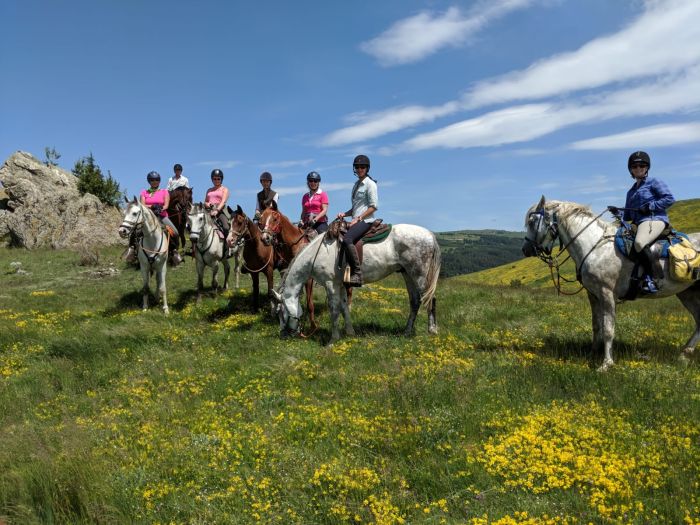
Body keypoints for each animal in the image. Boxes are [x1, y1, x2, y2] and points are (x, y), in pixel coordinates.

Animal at [270, 222, 438, 342]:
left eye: (280, 312)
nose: (283, 335)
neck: (316, 254)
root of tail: (430, 234)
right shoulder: (341, 285)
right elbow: (344, 307)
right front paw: (350, 332)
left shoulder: (331, 284)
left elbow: (334, 309)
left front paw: (333, 339)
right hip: (407, 274)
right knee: (415, 301)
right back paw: (407, 332)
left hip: (419, 275)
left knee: (430, 300)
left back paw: (432, 330)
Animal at [524, 194, 700, 370]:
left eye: (532, 221)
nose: (526, 250)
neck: (595, 246)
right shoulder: (593, 295)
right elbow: (596, 325)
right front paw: (593, 353)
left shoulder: (607, 293)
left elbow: (608, 329)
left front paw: (606, 363)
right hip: (687, 293)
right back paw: (684, 354)